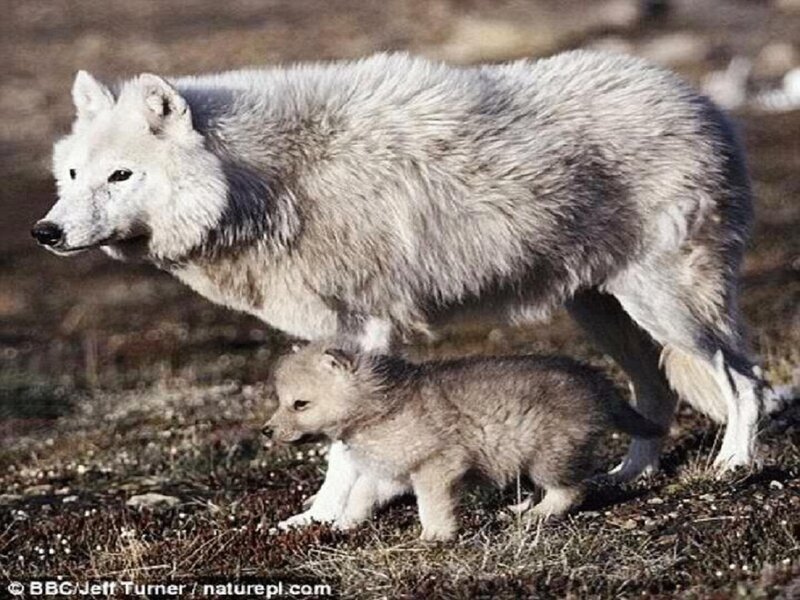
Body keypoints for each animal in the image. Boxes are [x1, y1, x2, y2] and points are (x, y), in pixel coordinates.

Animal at [267, 343, 665, 540]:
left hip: (549, 453)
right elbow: (359, 496)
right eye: (281, 401)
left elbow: (431, 505)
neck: (379, 405)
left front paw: (437, 535)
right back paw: (518, 508)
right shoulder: (392, 472)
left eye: (299, 404)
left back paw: (537, 515)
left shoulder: (437, 465)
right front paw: (344, 525)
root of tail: (596, 380)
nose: (266, 431)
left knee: (571, 491)